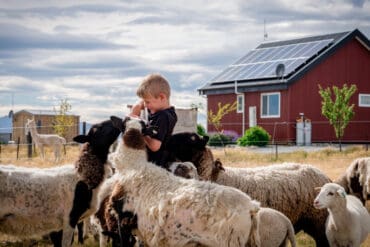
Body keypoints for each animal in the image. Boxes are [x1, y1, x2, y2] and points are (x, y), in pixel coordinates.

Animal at [0, 118, 119, 246]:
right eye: (98, 128)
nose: (116, 119)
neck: (82, 177)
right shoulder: (69, 218)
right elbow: (66, 242)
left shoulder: (58, 225)